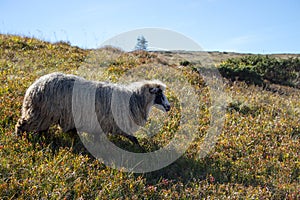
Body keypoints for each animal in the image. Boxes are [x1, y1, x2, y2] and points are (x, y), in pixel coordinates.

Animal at [15, 72, 171, 145]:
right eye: (159, 94)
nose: (169, 107)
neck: (135, 100)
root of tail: (33, 87)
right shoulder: (116, 124)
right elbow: (134, 139)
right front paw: (140, 150)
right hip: (39, 113)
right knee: (21, 124)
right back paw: (19, 138)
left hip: (45, 116)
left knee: (42, 130)